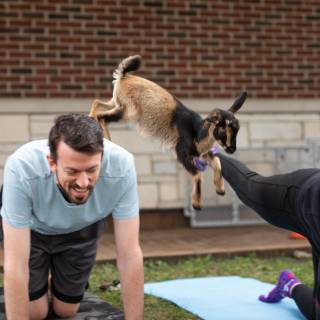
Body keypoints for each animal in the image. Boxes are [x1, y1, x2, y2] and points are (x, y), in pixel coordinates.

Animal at [90, 55, 248, 210]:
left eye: (237, 129)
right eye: (222, 129)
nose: (232, 149)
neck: (196, 132)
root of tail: (124, 76)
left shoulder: (202, 153)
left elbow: (217, 162)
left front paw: (220, 189)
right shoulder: (181, 153)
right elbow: (198, 174)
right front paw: (196, 204)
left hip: (117, 102)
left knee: (97, 103)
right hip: (129, 111)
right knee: (103, 117)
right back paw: (108, 140)